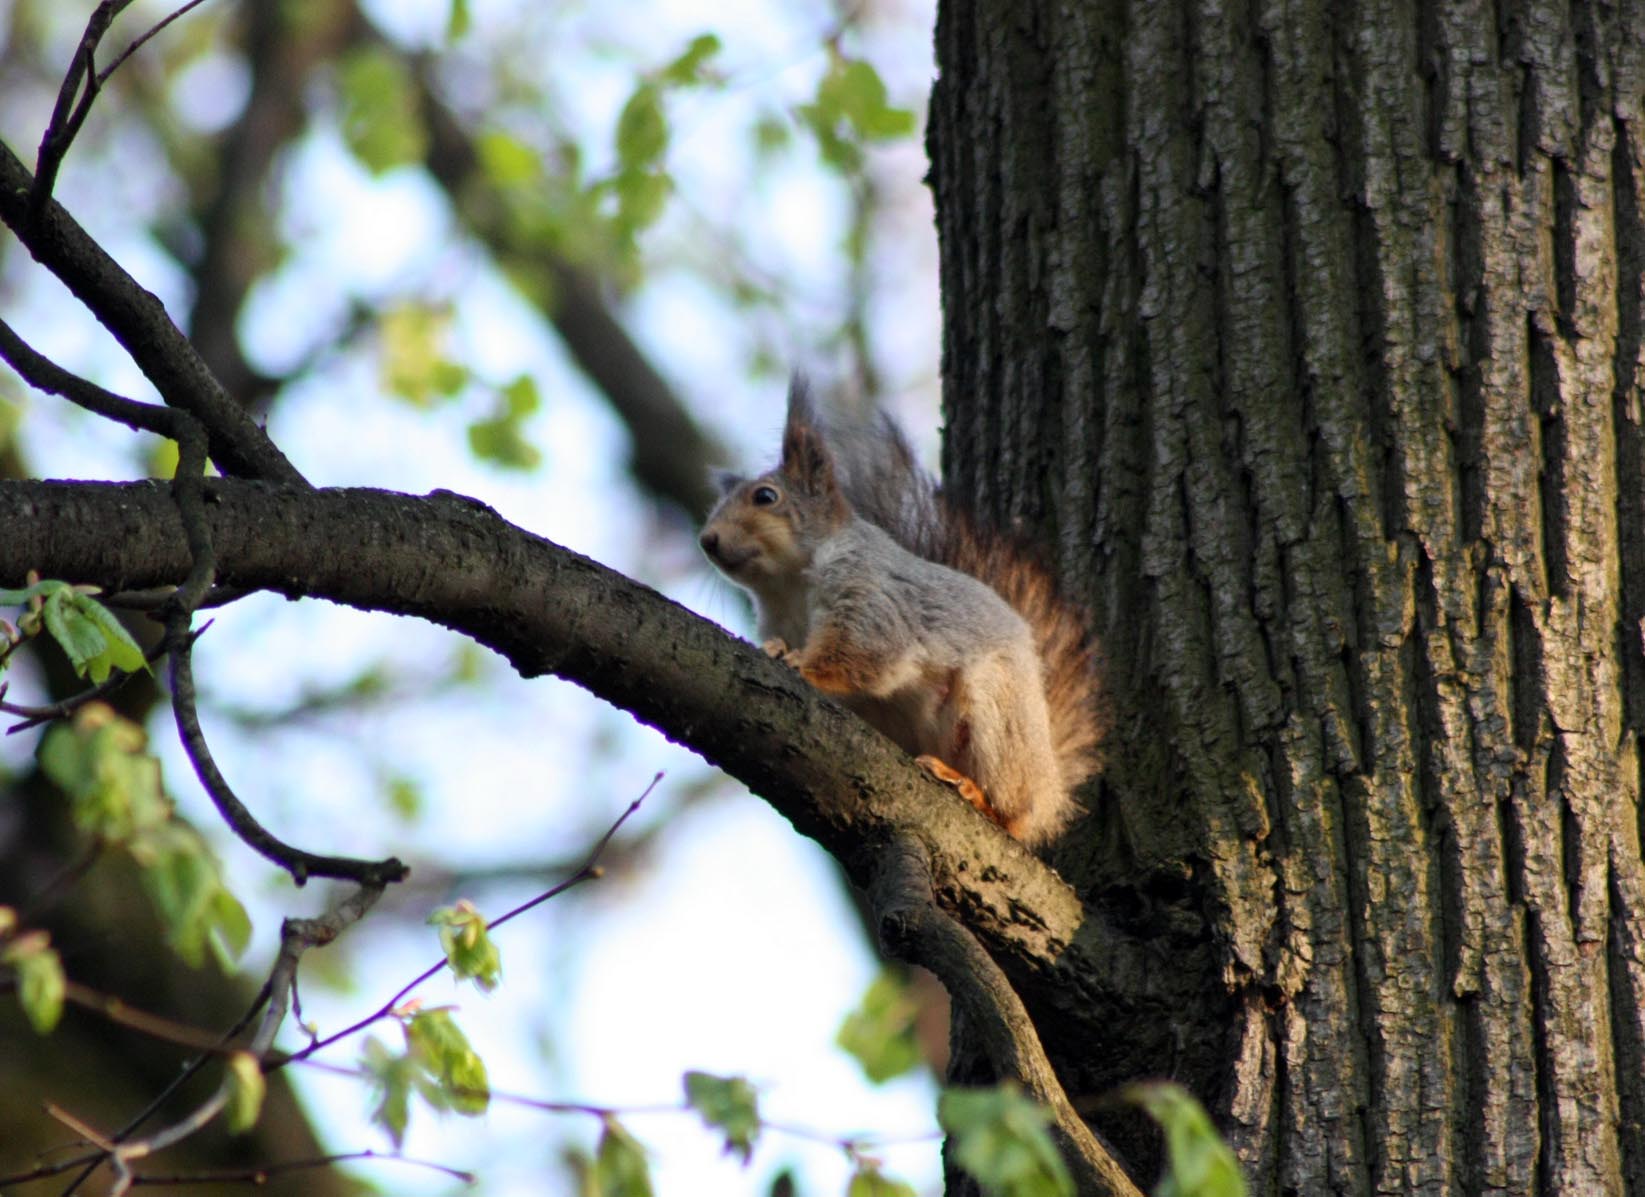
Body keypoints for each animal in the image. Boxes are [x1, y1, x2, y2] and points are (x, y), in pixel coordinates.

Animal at [697, 378, 1105, 848]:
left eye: (765, 497)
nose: (707, 540)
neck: (787, 589)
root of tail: (1050, 785)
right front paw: (777, 650)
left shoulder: (870, 595)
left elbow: (862, 654)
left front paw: (803, 666)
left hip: (996, 715)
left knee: (1014, 816)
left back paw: (970, 789)